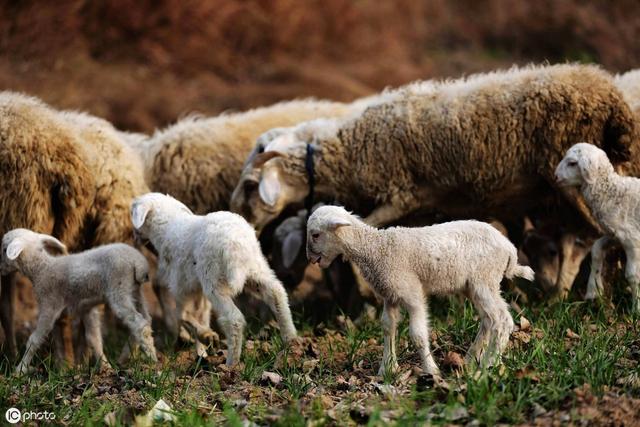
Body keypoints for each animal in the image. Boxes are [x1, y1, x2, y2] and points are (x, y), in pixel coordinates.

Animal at [1, 227, 157, 374]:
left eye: (4, 250)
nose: (1, 269)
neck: (42, 269)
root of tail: (139, 262)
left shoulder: (49, 304)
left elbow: (34, 339)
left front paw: (20, 370)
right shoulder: (86, 308)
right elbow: (93, 338)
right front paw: (105, 367)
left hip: (119, 289)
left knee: (139, 324)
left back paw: (152, 359)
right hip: (135, 290)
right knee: (146, 319)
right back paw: (125, 356)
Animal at [304, 207, 528, 378]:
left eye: (315, 235)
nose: (310, 258)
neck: (376, 248)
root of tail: (509, 248)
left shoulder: (411, 293)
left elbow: (418, 334)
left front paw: (431, 370)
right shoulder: (390, 294)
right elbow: (388, 327)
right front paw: (387, 368)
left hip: (485, 280)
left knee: (502, 320)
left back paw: (489, 364)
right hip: (474, 285)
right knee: (488, 320)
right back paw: (470, 359)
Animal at [556, 143, 640, 310]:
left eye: (573, 163)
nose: (555, 177)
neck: (612, 193)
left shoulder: (632, 238)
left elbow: (632, 275)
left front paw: (636, 309)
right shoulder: (615, 234)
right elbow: (596, 249)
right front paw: (593, 291)